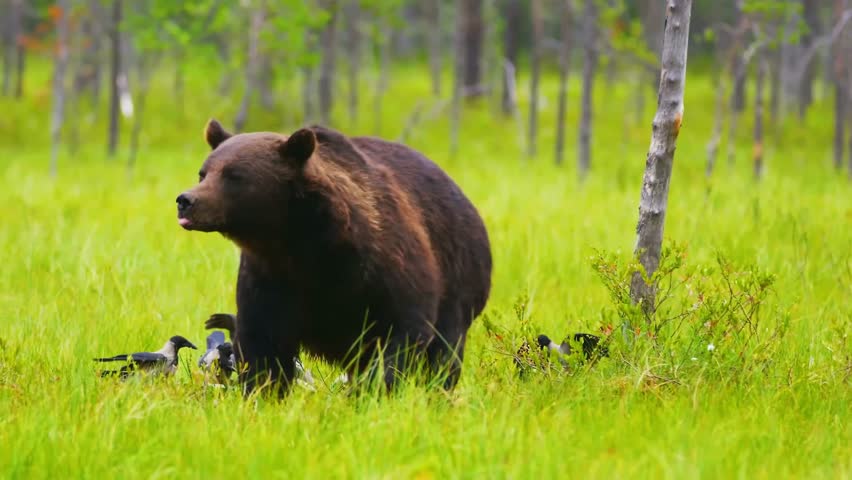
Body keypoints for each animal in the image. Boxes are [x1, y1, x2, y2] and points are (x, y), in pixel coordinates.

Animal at [176, 119, 492, 396]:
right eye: (204, 172)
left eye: (234, 175)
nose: (186, 200)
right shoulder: (271, 276)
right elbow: (262, 342)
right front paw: (263, 392)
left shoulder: (386, 266)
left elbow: (402, 329)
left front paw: (373, 391)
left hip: (458, 279)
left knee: (445, 350)